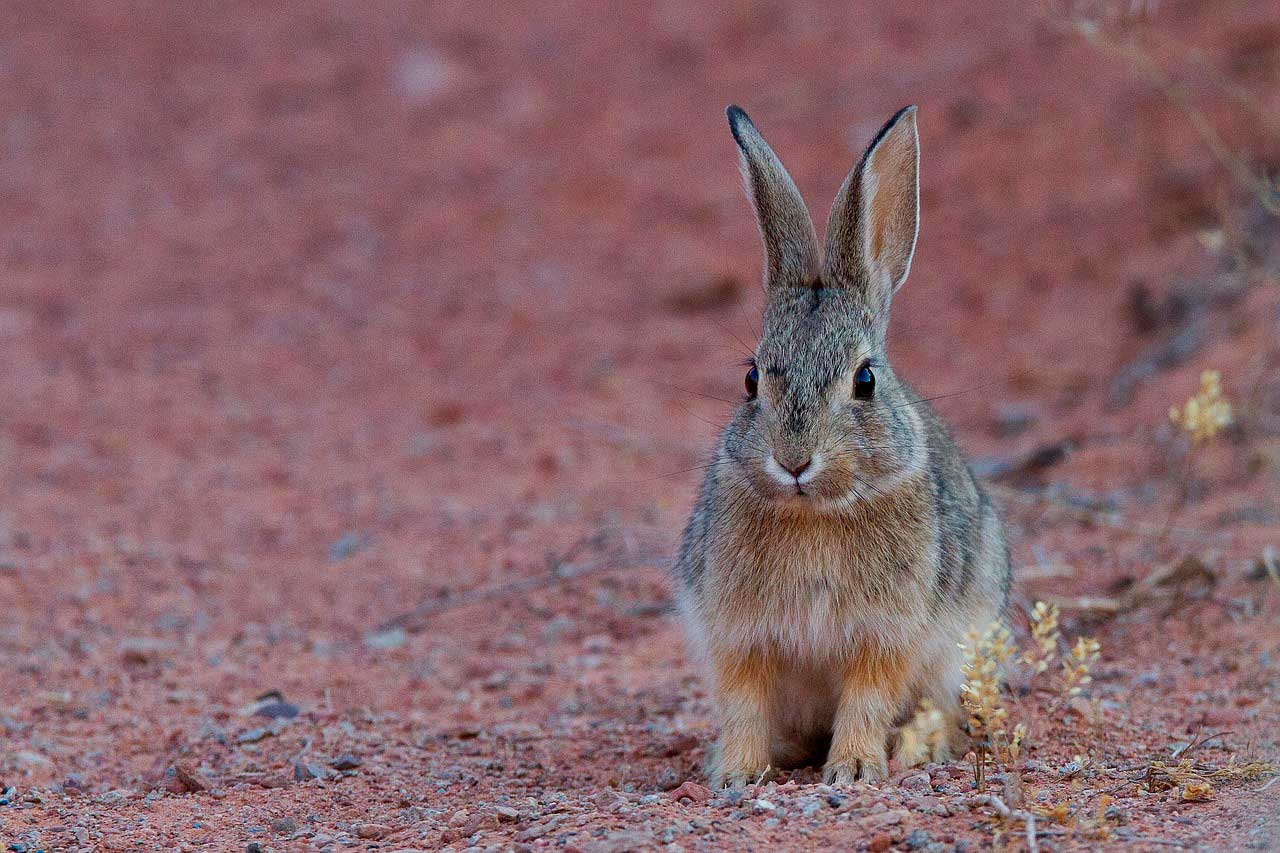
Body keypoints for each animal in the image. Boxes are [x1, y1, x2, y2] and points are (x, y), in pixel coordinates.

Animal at [675, 104, 1013, 783]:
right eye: (751, 379)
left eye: (865, 380)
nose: (793, 461)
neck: (816, 513)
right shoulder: (738, 635)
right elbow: (744, 702)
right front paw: (738, 774)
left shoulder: (885, 635)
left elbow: (867, 698)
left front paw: (854, 769)